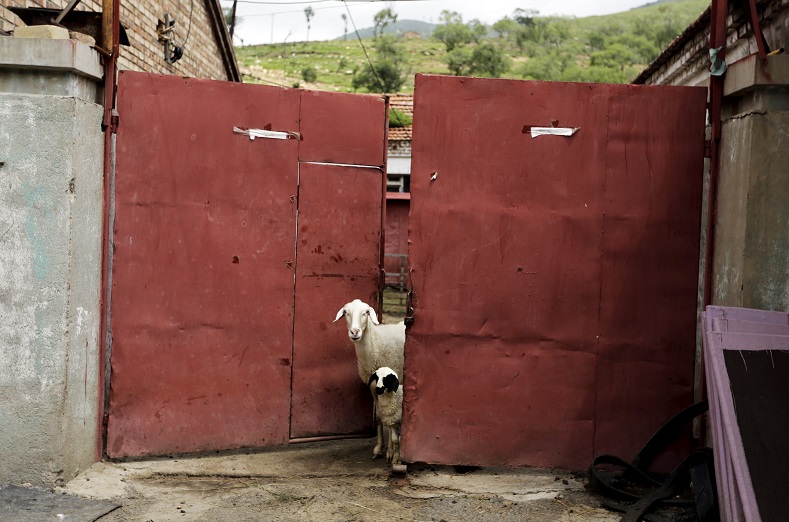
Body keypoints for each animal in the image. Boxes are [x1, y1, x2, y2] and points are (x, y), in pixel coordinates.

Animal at [334, 296, 406, 456]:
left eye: (366, 312)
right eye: (346, 313)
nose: (354, 332)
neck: (375, 344)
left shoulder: (393, 386)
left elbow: (391, 417)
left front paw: (390, 451)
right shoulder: (373, 387)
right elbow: (379, 416)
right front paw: (379, 447)